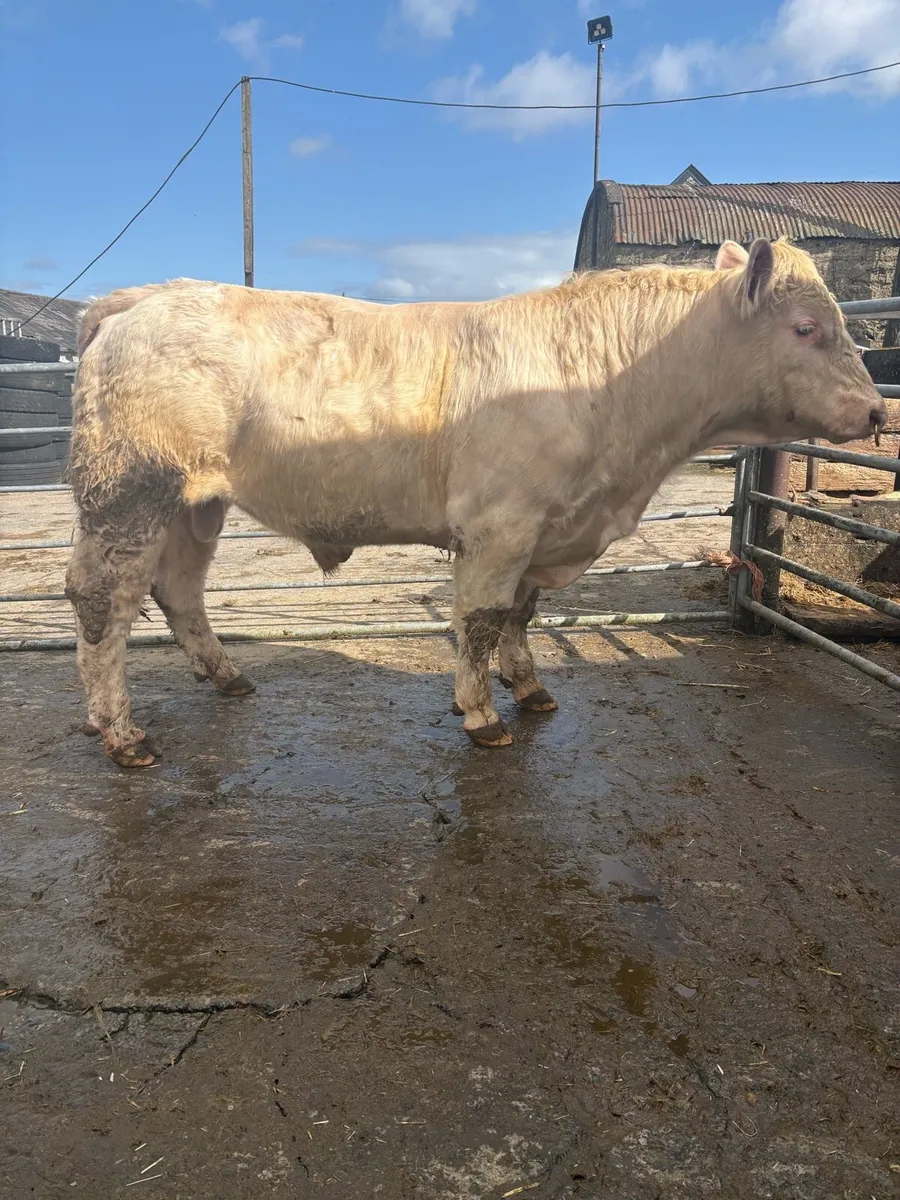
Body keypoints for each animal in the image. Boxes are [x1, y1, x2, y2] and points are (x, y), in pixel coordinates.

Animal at [65, 238, 886, 767]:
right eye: (807, 328)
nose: (879, 411)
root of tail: (142, 298)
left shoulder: (544, 528)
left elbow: (522, 616)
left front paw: (531, 688)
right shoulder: (500, 526)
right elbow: (483, 618)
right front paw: (482, 713)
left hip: (194, 505)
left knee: (178, 590)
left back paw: (226, 676)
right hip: (130, 493)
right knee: (102, 598)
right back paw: (122, 733)